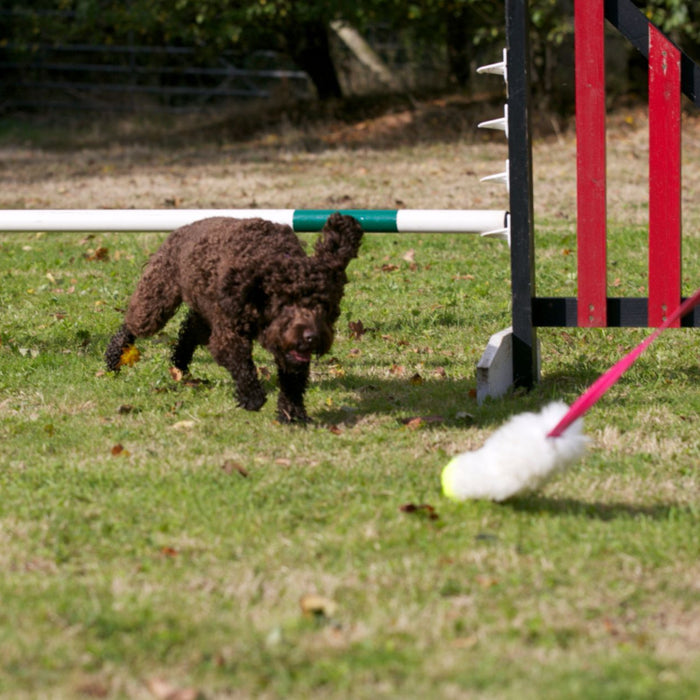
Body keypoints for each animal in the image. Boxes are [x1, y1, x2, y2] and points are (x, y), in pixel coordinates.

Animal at [108, 212, 366, 422]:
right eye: (285, 305)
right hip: (159, 295)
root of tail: (183, 228)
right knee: (132, 323)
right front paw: (251, 397)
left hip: (203, 310)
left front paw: (292, 414)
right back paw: (115, 358)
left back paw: (180, 365)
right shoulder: (229, 333)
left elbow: (293, 380)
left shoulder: (288, 349)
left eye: (324, 306)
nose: (311, 337)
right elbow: (242, 364)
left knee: (189, 331)